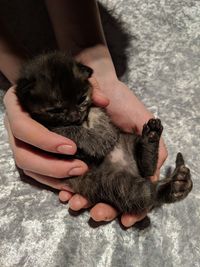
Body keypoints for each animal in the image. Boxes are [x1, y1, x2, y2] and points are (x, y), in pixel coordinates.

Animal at [14, 52, 193, 228]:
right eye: (55, 110)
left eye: (81, 99)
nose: (75, 116)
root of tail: (132, 170)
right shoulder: (49, 136)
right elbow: (65, 130)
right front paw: (95, 142)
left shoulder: (95, 106)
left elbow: (96, 112)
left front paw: (105, 135)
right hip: (113, 184)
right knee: (145, 194)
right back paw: (173, 187)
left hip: (131, 140)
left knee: (148, 169)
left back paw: (151, 139)